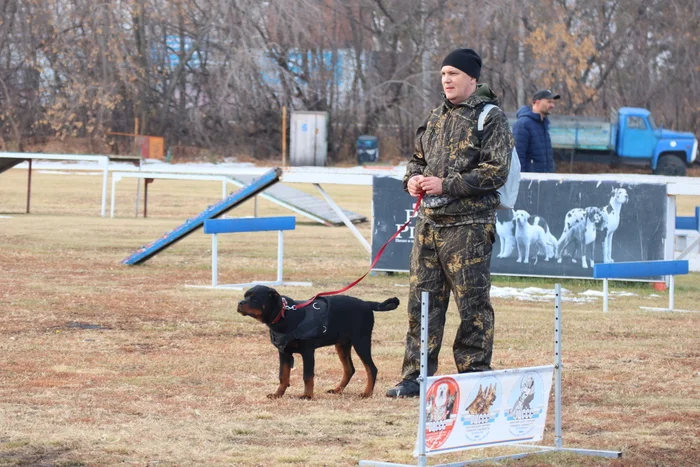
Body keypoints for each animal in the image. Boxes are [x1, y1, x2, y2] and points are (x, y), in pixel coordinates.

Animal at [238, 286, 400, 398]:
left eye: (254, 298)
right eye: (245, 296)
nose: (239, 303)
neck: (285, 315)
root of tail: (367, 304)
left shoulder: (308, 351)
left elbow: (307, 376)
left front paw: (307, 396)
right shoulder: (284, 353)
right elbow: (283, 376)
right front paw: (278, 394)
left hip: (361, 341)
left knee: (371, 368)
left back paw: (366, 393)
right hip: (342, 345)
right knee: (349, 369)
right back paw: (337, 390)